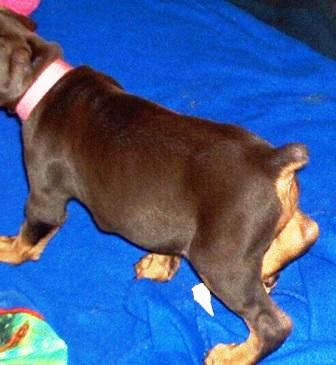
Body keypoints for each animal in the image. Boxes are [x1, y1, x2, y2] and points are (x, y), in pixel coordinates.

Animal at [0, 8, 318, 364]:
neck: (44, 81)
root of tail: (272, 161)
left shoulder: (45, 196)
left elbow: (28, 239)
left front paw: (6, 248)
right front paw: (159, 263)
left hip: (220, 261)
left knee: (272, 323)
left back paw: (232, 355)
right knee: (305, 230)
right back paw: (266, 270)